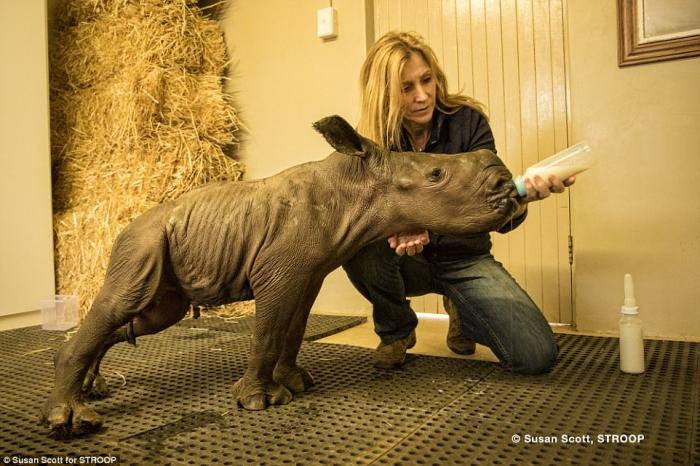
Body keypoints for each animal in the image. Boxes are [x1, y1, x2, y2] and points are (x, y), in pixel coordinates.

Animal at [39, 114, 520, 436]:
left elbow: (293, 329)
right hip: (142, 240)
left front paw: (294, 383)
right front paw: (257, 401)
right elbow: (267, 333)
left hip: (160, 247)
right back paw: (71, 420)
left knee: (148, 317)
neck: (355, 187)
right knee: (123, 303)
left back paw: (93, 388)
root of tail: (124, 225)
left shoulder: (307, 273)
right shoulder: (279, 273)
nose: (507, 188)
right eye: (436, 174)